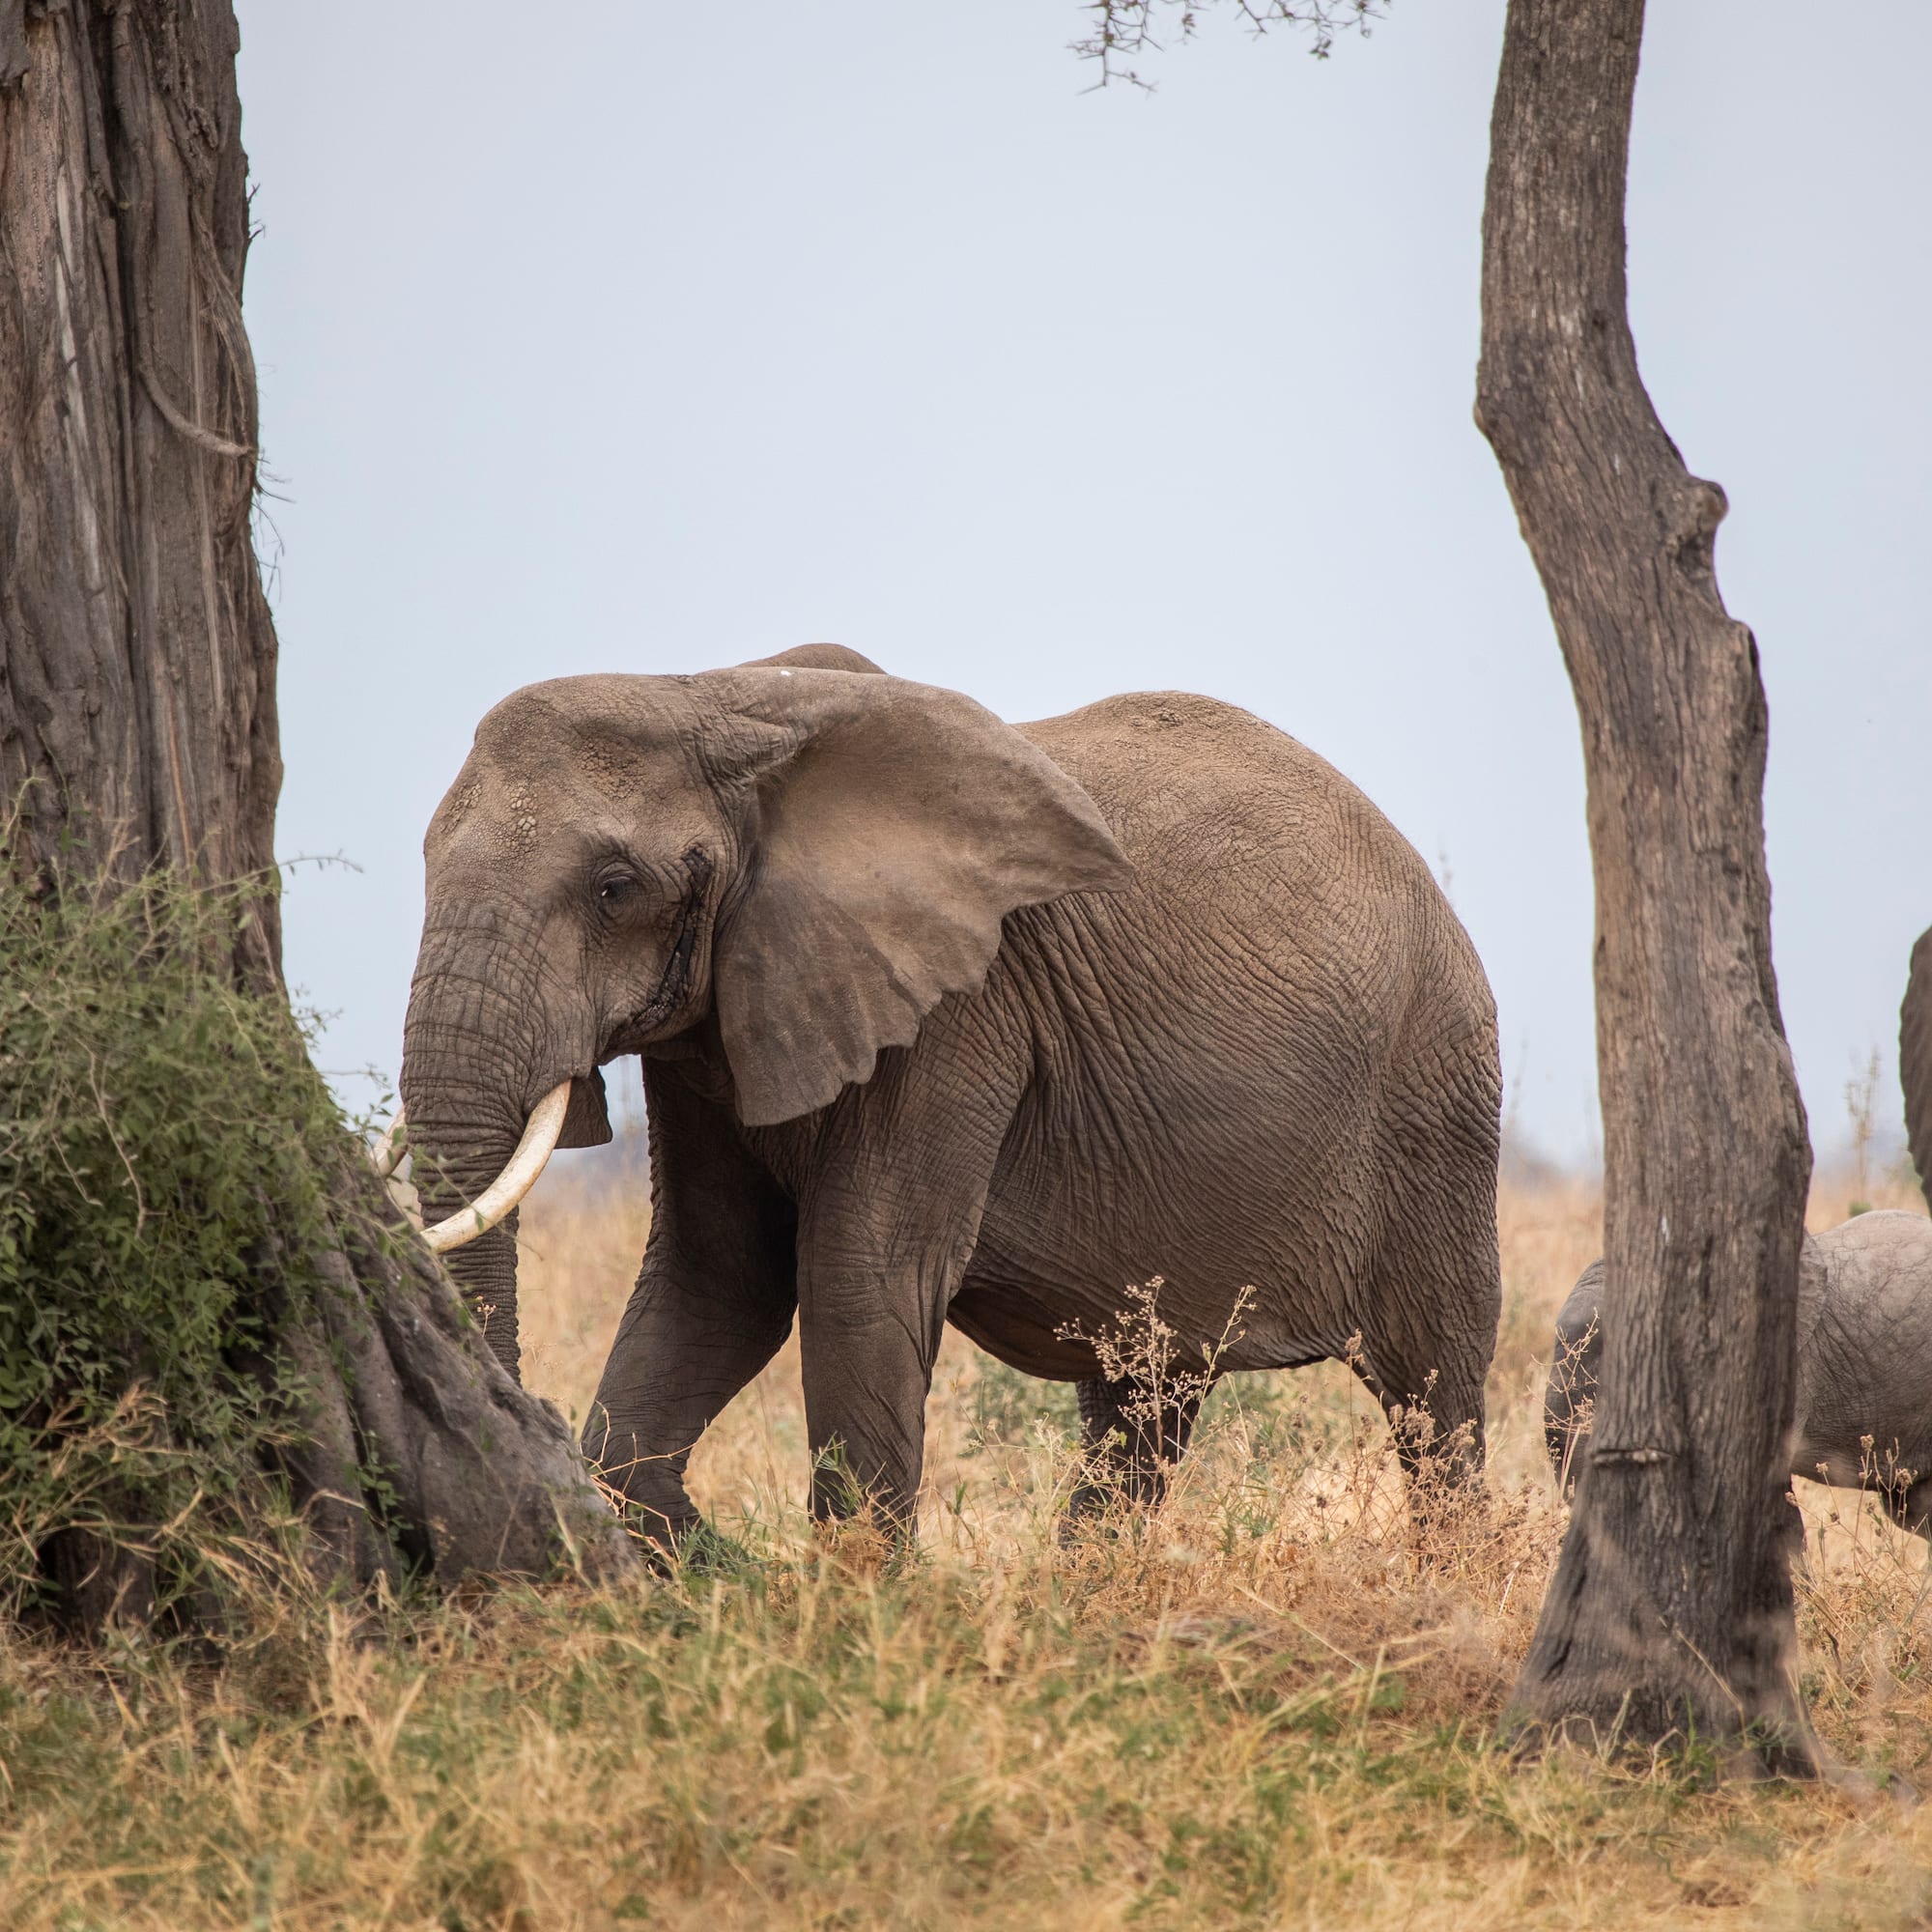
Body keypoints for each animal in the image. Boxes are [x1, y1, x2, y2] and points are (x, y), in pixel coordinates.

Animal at [395, 644, 1504, 1547]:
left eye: (615, 887)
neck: (711, 694)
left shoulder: (958, 1008)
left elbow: (856, 1274)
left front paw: (848, 1614)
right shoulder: (716, 1021)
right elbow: (717, 1278)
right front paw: (690, 1544)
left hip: (1437, 1098)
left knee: (1435, 1393)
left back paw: (1450, 1583)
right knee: (1145, 1399)